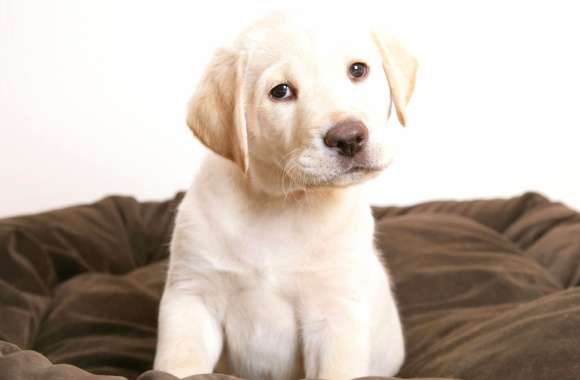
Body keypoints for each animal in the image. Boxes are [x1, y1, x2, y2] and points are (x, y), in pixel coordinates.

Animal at [154, 10, 416, 378]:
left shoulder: (335, 316)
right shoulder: (192, 298)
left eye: (357, 70)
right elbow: (179, 364)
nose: (349, 137)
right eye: (281, 91)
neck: (282, 202)